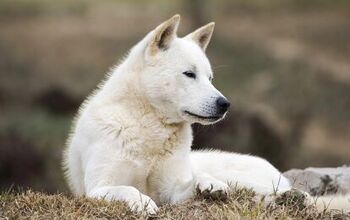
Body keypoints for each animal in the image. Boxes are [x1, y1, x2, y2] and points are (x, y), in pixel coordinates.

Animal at [62, 15, 348, 213]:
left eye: (210, 78)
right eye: (190, 74)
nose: (225, 104)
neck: (149, 127)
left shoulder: (170, 190)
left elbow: (191, 182)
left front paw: (209, 185)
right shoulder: (97, 188)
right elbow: (128, 189)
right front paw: (143, 203)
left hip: (247, 180)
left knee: (280, 194)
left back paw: (293, 198)